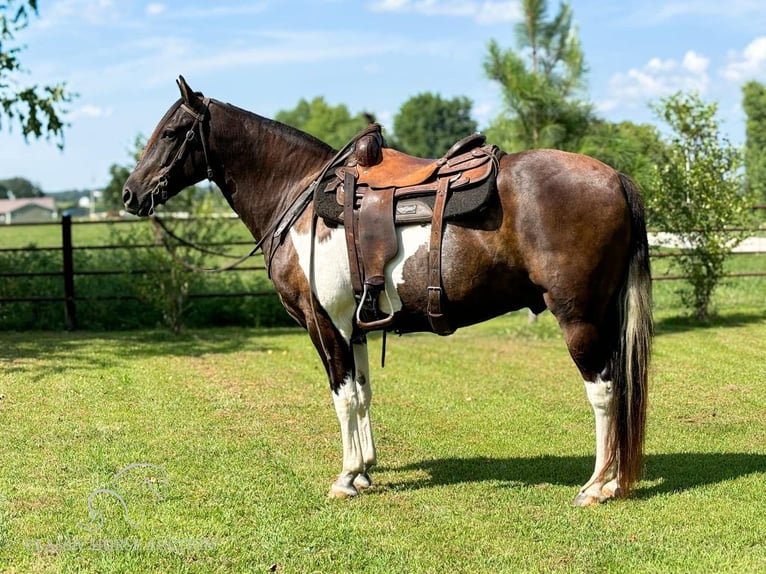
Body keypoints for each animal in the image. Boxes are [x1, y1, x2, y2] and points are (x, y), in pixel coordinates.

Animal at [123, 77, 652, 508]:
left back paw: (597, 485)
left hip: (578, 317)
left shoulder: (325, 323)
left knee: (604, 391)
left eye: (171, 133)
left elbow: (342, 396)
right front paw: (365, 470)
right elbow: (362, 392)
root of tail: (616, 178)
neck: (300, 199)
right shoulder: (353, 324)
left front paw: (345, 477)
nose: (131, 193)